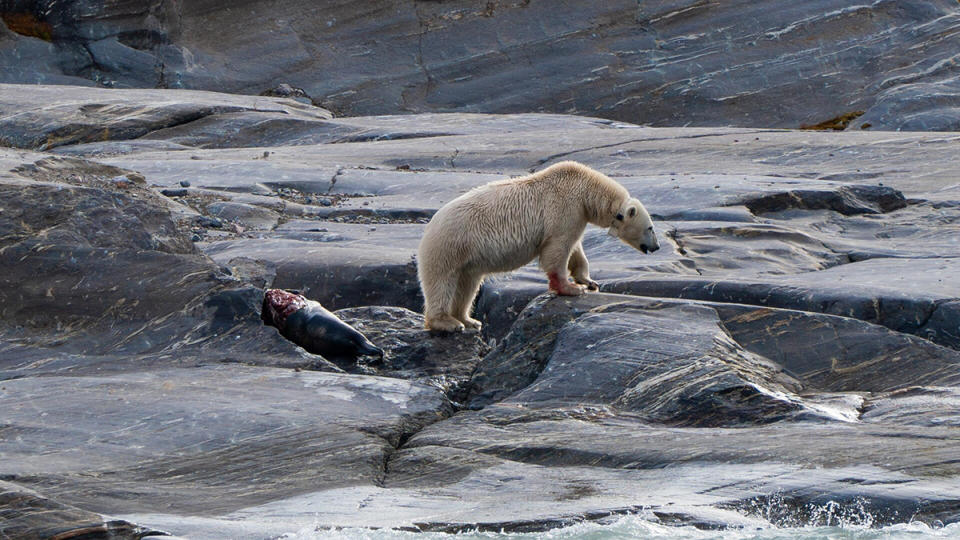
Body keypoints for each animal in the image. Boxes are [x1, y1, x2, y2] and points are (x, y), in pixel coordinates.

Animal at [420, 159, 660, 334]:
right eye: (651, 227)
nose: (656, 247)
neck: (585, 187)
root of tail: (430, 226)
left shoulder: (577, 213)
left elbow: (575, 249)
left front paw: (589, 281)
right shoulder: (566, 207)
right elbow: (557, 249)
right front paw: (571, 288)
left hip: (467, 257)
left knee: (467, 284)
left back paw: (469, 320)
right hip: (451, 244)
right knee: (442, 281)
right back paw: (447, 322)